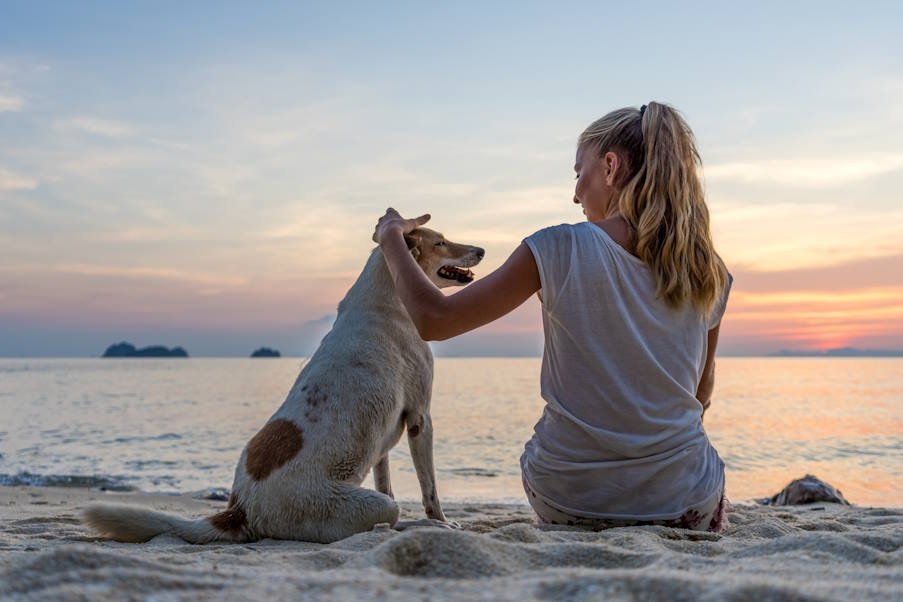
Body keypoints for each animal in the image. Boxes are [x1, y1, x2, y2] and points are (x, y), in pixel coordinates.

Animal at [81, 226, 484, 544]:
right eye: (441, 241)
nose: (482, 249)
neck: (387, 297)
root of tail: (241, 509)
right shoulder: (420, 418)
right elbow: (430, 490)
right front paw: (442, 522)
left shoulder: (385, 439)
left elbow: (385, 476)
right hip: (360, 507)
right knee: (384, 520)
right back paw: (417, 526)